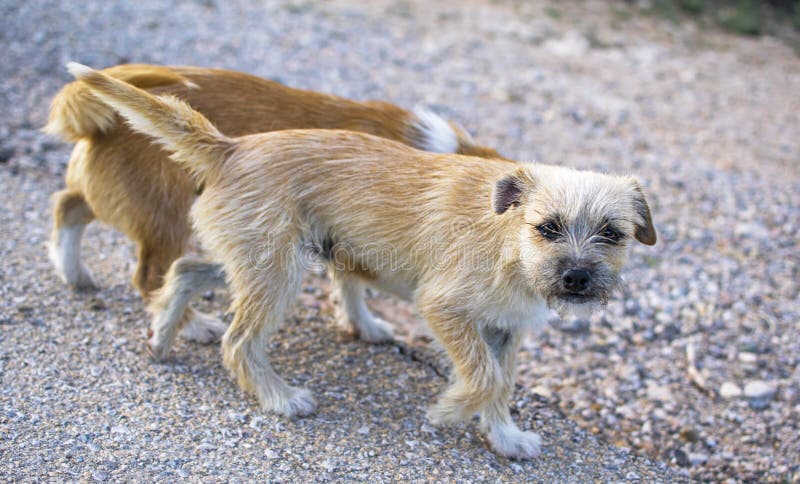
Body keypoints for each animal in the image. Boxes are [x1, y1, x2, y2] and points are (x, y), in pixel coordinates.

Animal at [45, 64, 500, 338]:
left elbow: (350, 287)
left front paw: (364, 326)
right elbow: (353, 283)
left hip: (121, 200)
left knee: (68, 205)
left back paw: (73, 271)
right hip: (169, 217)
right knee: (150, 275)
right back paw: (192, 325)